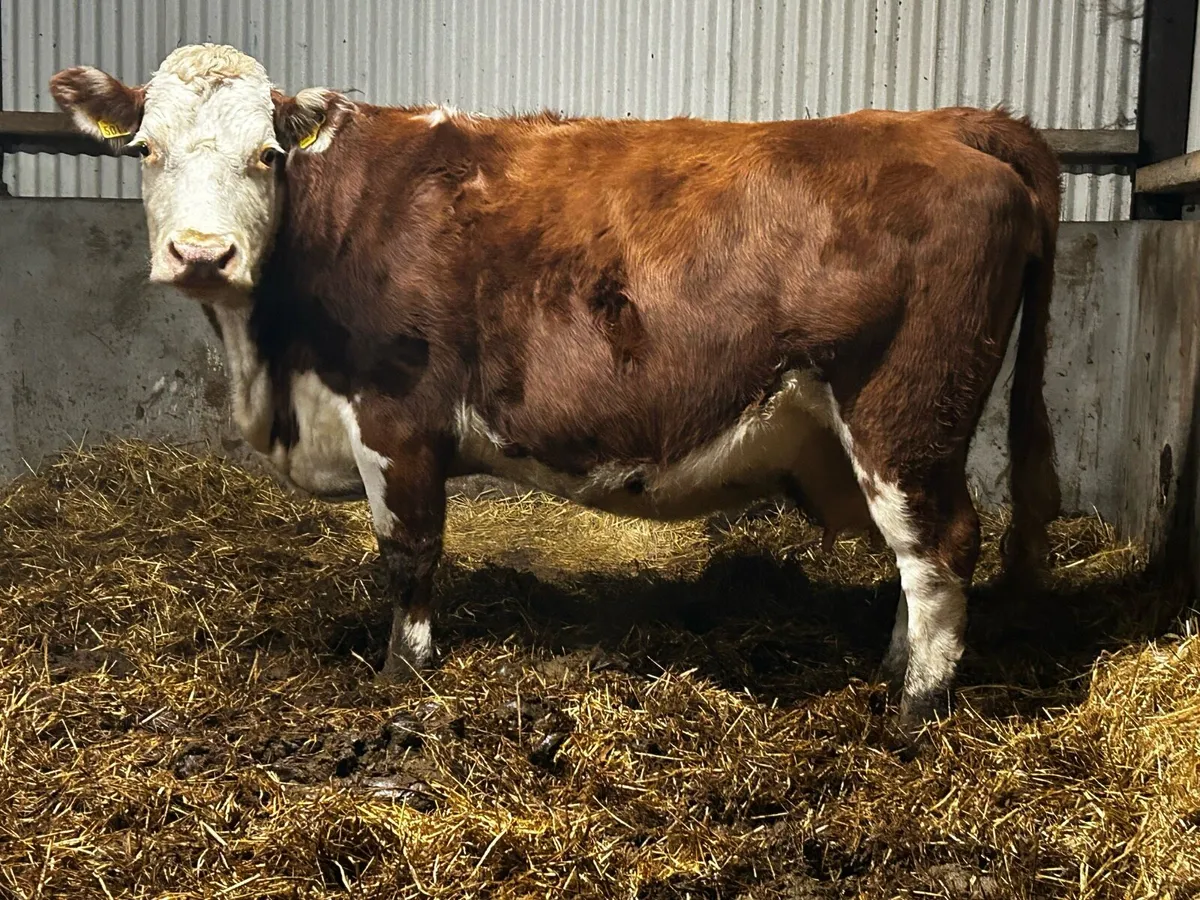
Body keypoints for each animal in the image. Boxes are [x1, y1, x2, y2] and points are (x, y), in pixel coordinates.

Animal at [50, 43, 1061, 735]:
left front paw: (404, 674)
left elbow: (410, 555)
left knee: (940, 548)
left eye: (266, 154)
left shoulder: (397, 421)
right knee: (918, 559)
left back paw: (915, 709)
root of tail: (941, 121)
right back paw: (892, 671)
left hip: (904, 412)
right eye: (146, 150)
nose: (201, 254)